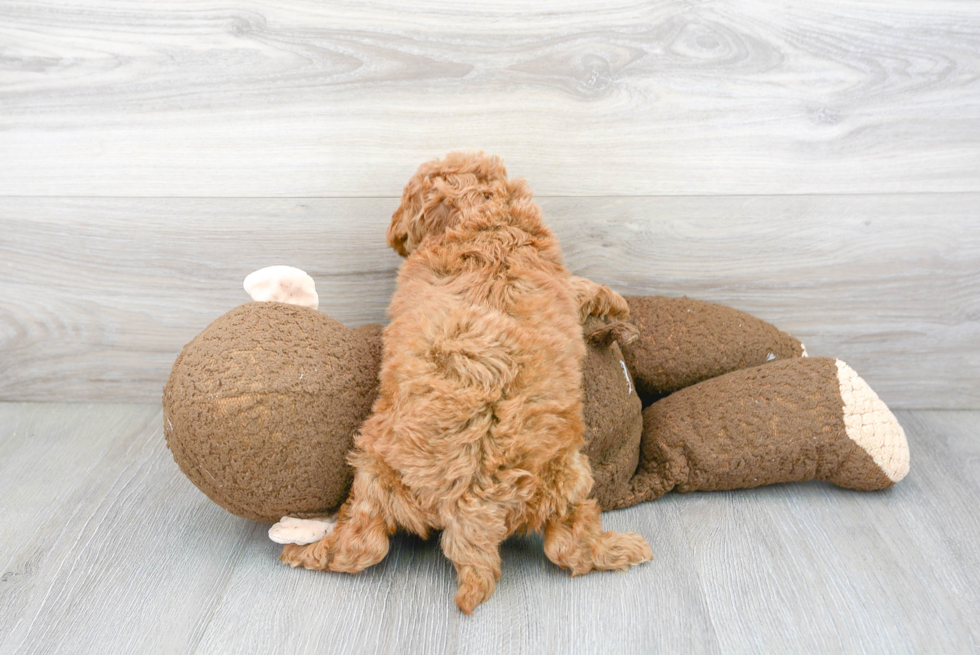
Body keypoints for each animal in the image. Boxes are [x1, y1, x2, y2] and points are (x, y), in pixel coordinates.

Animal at [282, 154, 652, 616]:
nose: (393, 234)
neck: (485, 219)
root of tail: (469, 508)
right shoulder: (559, 278)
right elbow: (585, 287)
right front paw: (618, 305)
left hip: (375, 473)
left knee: (362, 546)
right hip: (567, 479)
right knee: (571, 548)